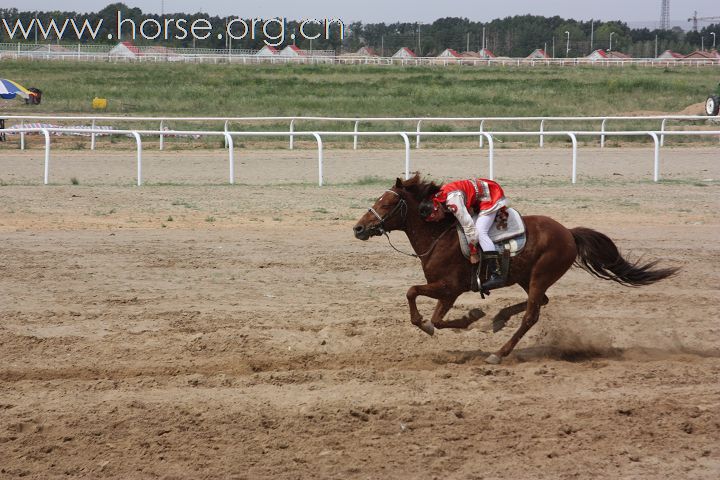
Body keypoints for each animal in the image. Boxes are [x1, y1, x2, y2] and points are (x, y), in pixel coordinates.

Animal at [354, 175, 680, 364]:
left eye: (386, 203)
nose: (358, 228)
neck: (439, 234)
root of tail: (569, 233)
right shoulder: (448, 292)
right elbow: (435, 317)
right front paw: (473, 317)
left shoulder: (450, 287)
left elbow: (414, 296)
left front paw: (464, 318)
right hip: (527, 277)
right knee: (540, 302)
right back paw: (499, 318)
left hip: (541, 275)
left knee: (532, 315)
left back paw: (499, 353)